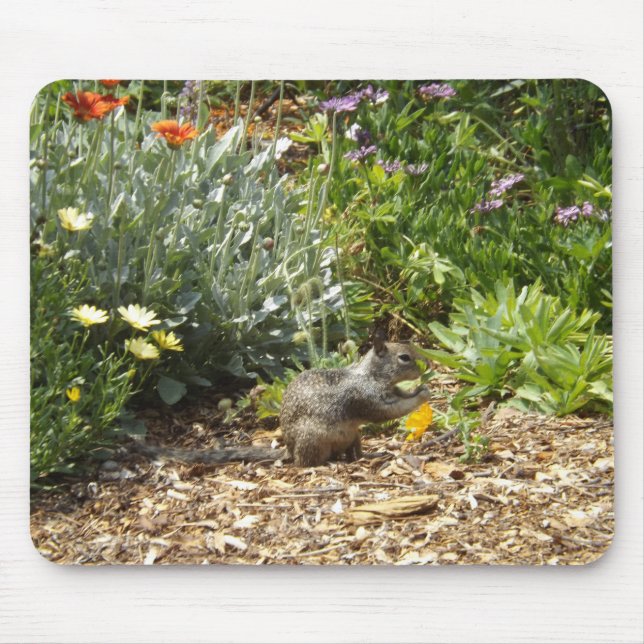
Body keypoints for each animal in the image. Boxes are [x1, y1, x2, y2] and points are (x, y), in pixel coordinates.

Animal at [133, 331, 430, 467]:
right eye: (404, 357)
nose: (427, 364)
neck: (368, 374)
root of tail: (289, 448)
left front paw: (423, 388)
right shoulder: (366, 398)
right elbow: (389, 411)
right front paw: (423, 393)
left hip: (352, 435)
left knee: (352, 452)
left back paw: (368, 455)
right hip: (316, 439)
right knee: (306, 463)